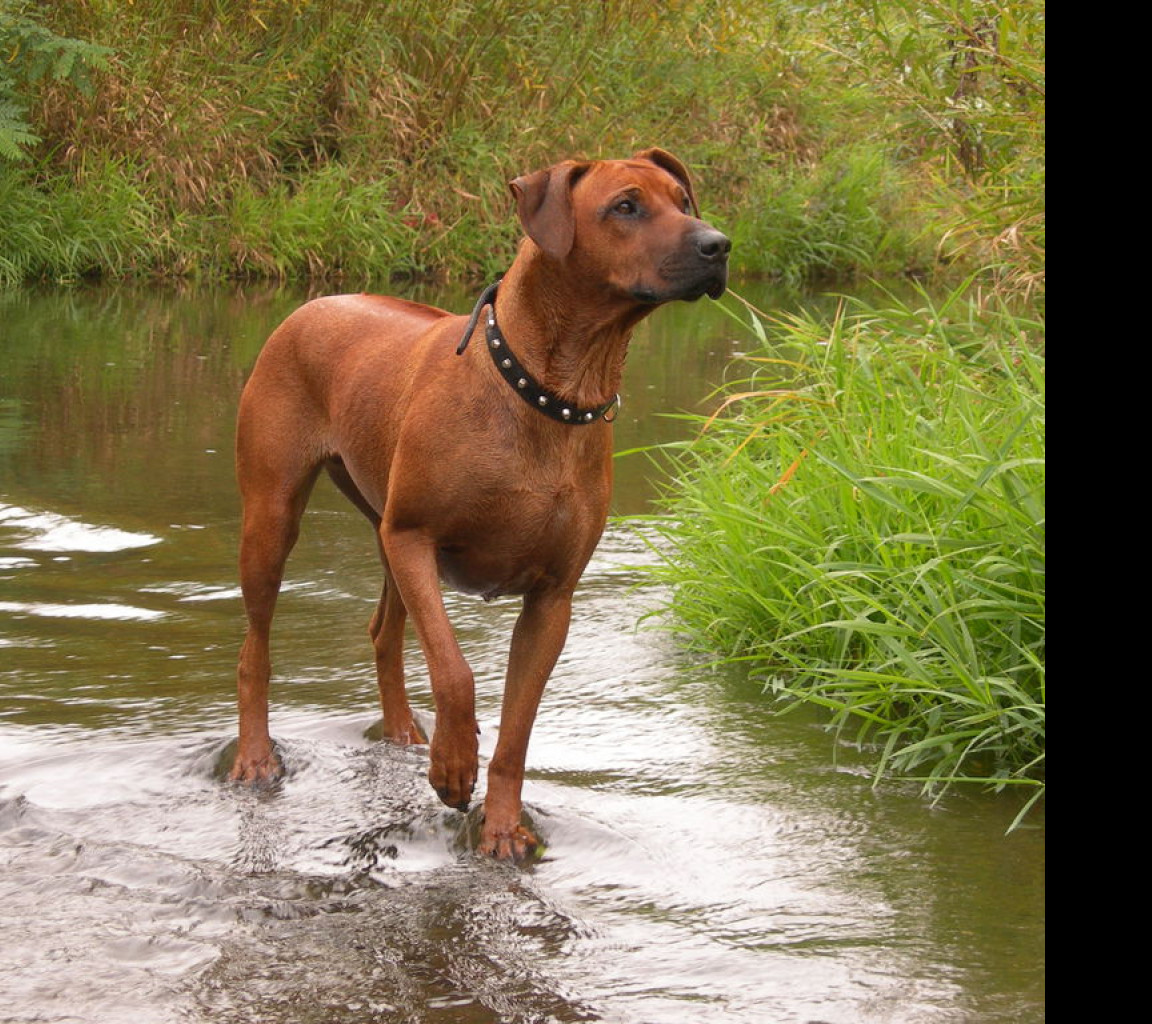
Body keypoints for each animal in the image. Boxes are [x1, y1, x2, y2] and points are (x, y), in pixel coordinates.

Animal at [230, 147, 728, 856]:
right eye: (626, 206)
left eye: (683, 202)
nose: (719, 245)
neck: (554, 390)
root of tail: (315, 300)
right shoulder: (415, 538)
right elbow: (456, 672)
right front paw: (454, 765)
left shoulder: (552, 598)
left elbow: (517, 731)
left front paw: (501, 828)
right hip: (275, 516)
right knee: (255, 648)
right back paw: (254, 756)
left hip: (381, 526)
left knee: (383, 632)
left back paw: (402, 732)